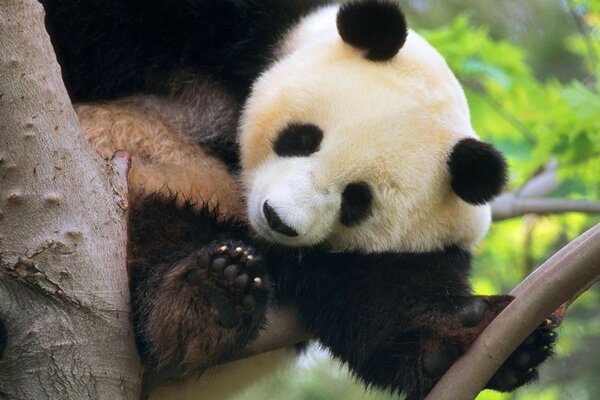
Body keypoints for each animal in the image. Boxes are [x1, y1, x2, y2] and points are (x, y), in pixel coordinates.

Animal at [41, 0, 556, 400]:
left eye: (356, 202)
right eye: (303, 138)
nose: (278, 219)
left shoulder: (389, 254)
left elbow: (382, 303)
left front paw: (480, 339)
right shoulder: (222, 29)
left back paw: (208, 298)